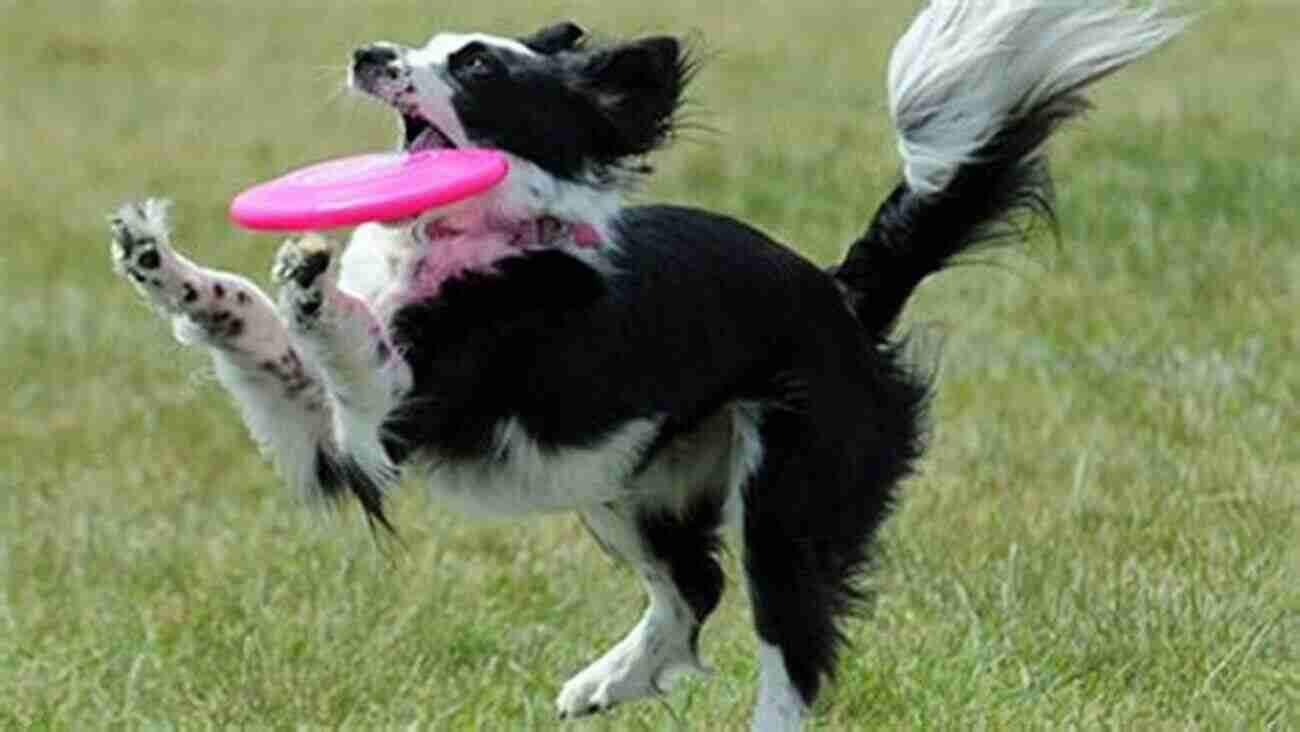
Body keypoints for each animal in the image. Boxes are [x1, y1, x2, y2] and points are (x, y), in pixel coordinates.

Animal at [111, 2, 1190, 728]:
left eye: (473, 64)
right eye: (421, 40)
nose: (367, 53)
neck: (467, 240)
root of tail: (839, 298)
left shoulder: (387, 427)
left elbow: (342, 338)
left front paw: (310, 275)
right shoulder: (328, 444)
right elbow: (250, 327)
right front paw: (160, 260)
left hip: (785, 492)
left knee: (788, 646)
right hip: (622, 486)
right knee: (692, 588)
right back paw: (606, 681)